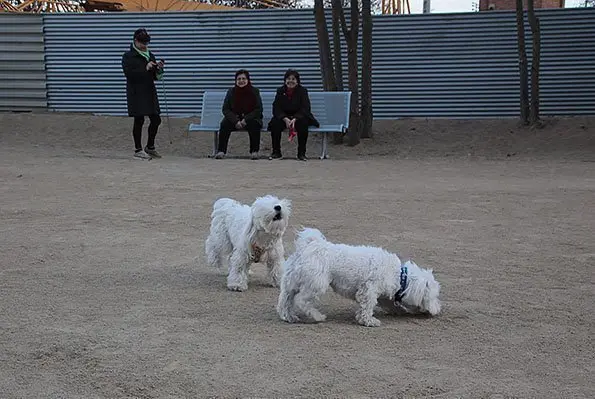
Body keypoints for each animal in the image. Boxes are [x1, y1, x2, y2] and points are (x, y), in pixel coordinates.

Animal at [278, 228, 440, 328]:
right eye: (434, 297)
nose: (438, 309)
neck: (398, 275)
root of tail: (308, 247)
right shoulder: (369, 290)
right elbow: (367, 306)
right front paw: (368, 321)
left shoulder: (382, 295)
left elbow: (389, 304)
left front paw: (399, 310)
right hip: (316, 284)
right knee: (301, 301)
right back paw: (317, 316)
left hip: (291, 282)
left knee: (285, 300)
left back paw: (288, 316)